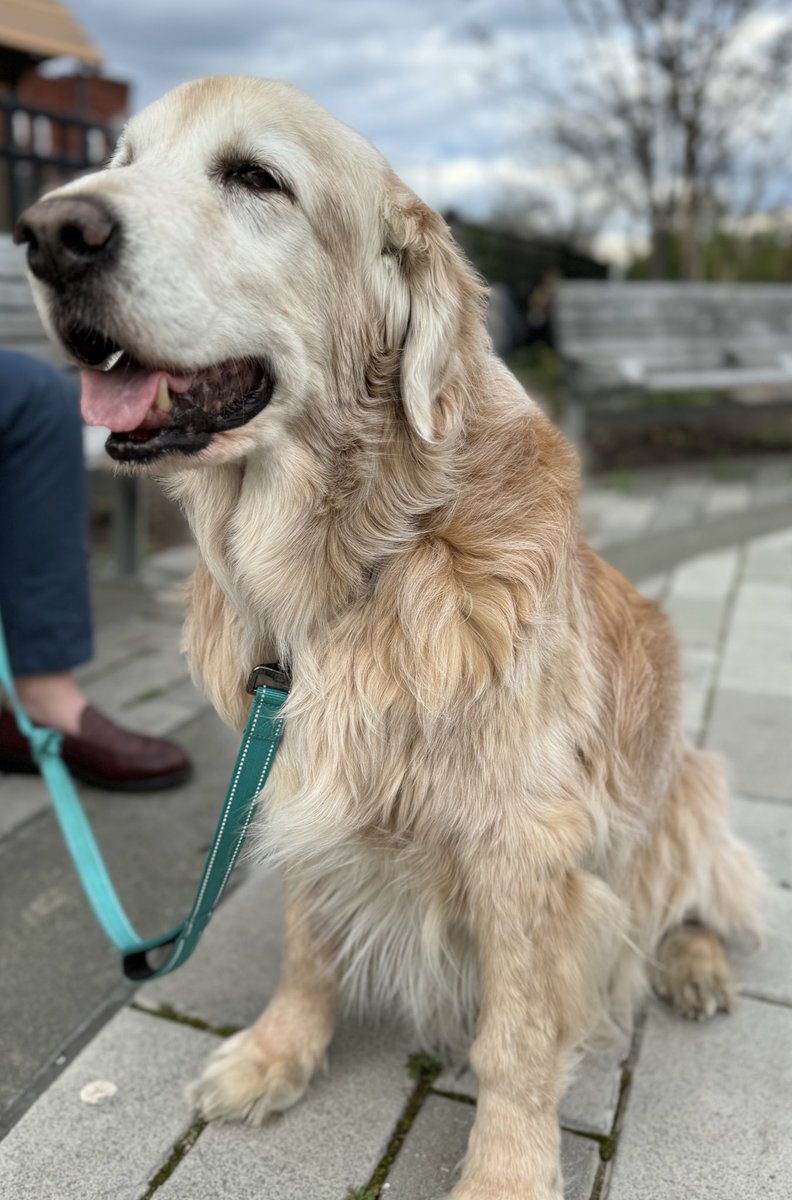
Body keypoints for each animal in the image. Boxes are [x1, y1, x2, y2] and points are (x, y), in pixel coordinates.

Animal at [17, 77, 763, 1200]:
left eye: (256, 177)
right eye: (123, 160)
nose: (48, 234)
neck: (358, 567)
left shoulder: (524, 846)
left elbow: (516, 1038)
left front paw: (504, 1174)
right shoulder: (291, 777)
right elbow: (305, 945)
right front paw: (277, 1052)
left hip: (691, 789)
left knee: (692, 899)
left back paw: (693, 964)